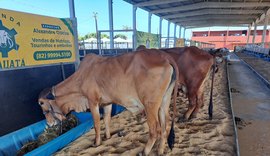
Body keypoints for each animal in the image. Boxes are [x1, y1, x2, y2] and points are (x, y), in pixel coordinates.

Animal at [37, 49, 178, 155]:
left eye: (42, 106)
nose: (49, 124)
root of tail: (165, 57)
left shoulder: (92, 101)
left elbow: (97, 123)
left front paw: (96, 142)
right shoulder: (107, 103)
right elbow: (106, 119)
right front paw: (108, 136)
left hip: (150, 105)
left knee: (155, 130)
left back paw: (145, 151)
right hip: (163, 103)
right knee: (165, 126)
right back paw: (160, 150)